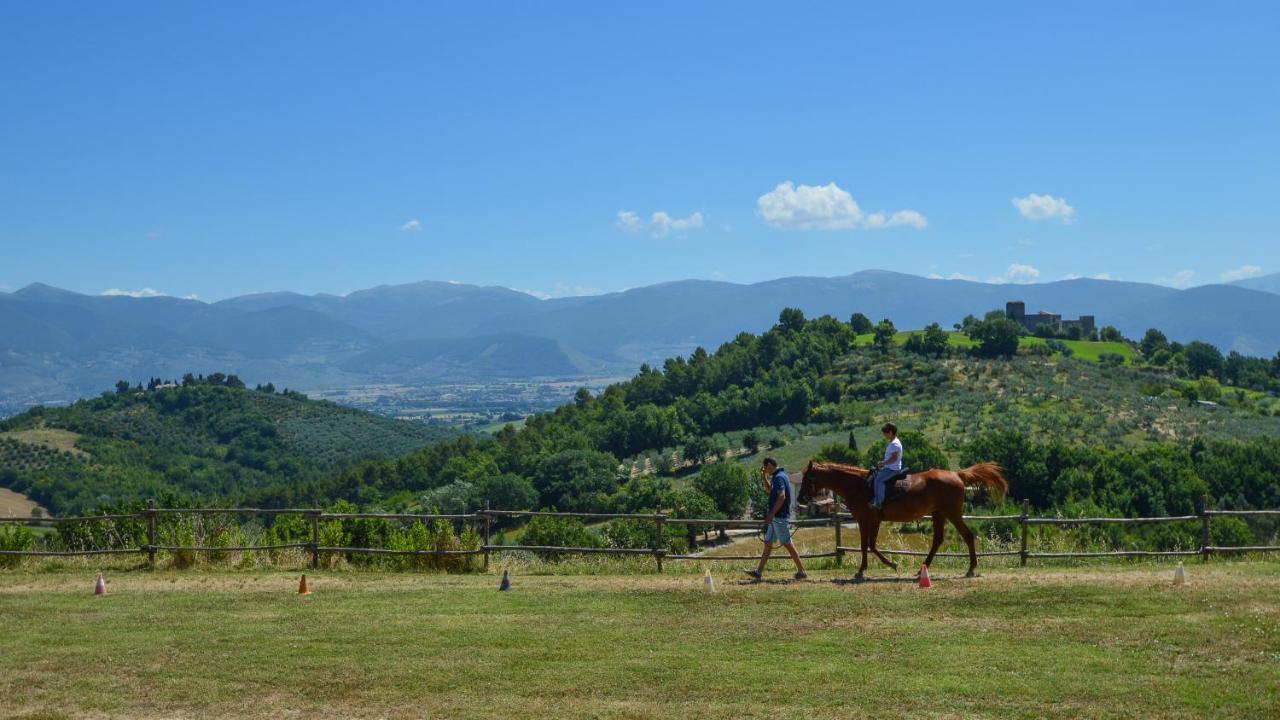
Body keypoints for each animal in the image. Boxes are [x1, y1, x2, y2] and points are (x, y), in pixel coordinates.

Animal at [793, 458, 1003, 576]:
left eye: (808, 478)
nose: (800, 498)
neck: (858, 486)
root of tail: (957, 474)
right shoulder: (873, 520)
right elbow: (870, 545)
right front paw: (889, 564)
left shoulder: (865, 519)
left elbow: (865, 545)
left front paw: (865, 570)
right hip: (939, 513)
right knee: (938, 539)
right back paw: (923, 568)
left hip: (952, 513)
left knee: (967, 535)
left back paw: (971, 568)